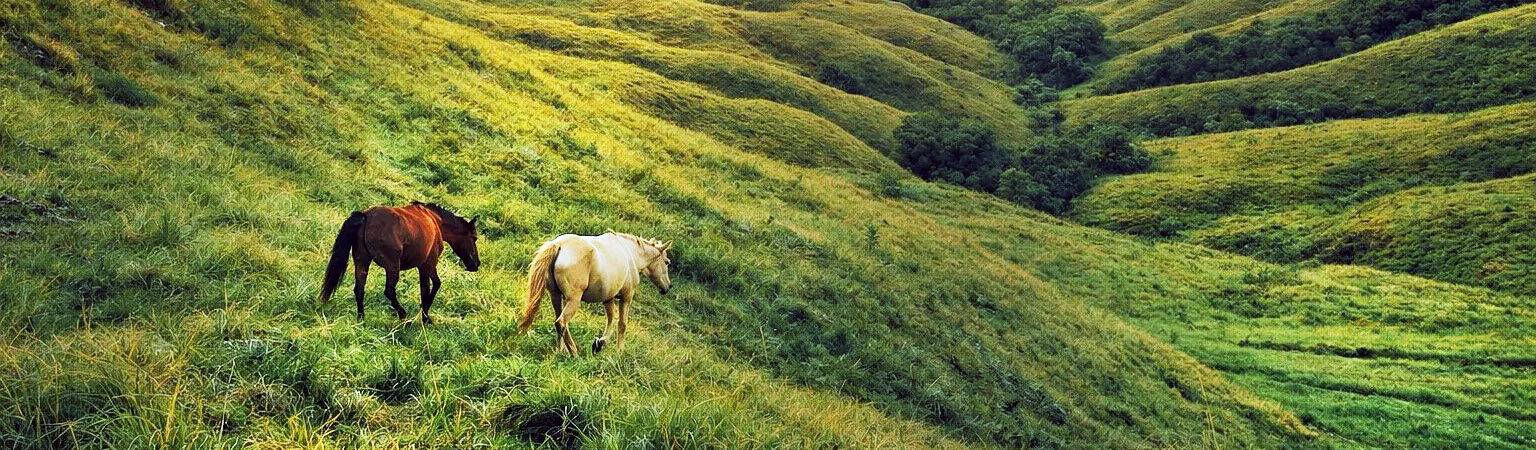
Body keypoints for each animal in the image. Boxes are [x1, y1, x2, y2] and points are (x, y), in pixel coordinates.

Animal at [318, 201, 480, 325]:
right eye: (474, 238)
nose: (476, 264)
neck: (435, 222)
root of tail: (366, 216)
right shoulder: (427, 264)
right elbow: (430, 288)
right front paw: (425, 317)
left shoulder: (424, 266)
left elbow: (430, 287)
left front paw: (425, 316)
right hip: (392, 267)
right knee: (389, 291)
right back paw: (402, 314)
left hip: (362, 262)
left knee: (359, 289)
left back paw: (361, 318)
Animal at [517, 231, 673, 355]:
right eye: (667, 262)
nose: (668, 287)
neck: (630, 253)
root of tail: (559, 244)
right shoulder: (627, 296)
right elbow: (622, 324)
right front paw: (619, 351)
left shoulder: (608, 298)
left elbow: (610, 319)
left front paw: (599, 343)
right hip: (573, 300)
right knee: (561, 322)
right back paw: (571, 352)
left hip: (555, 296)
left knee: (560, 322)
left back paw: (563, 350)